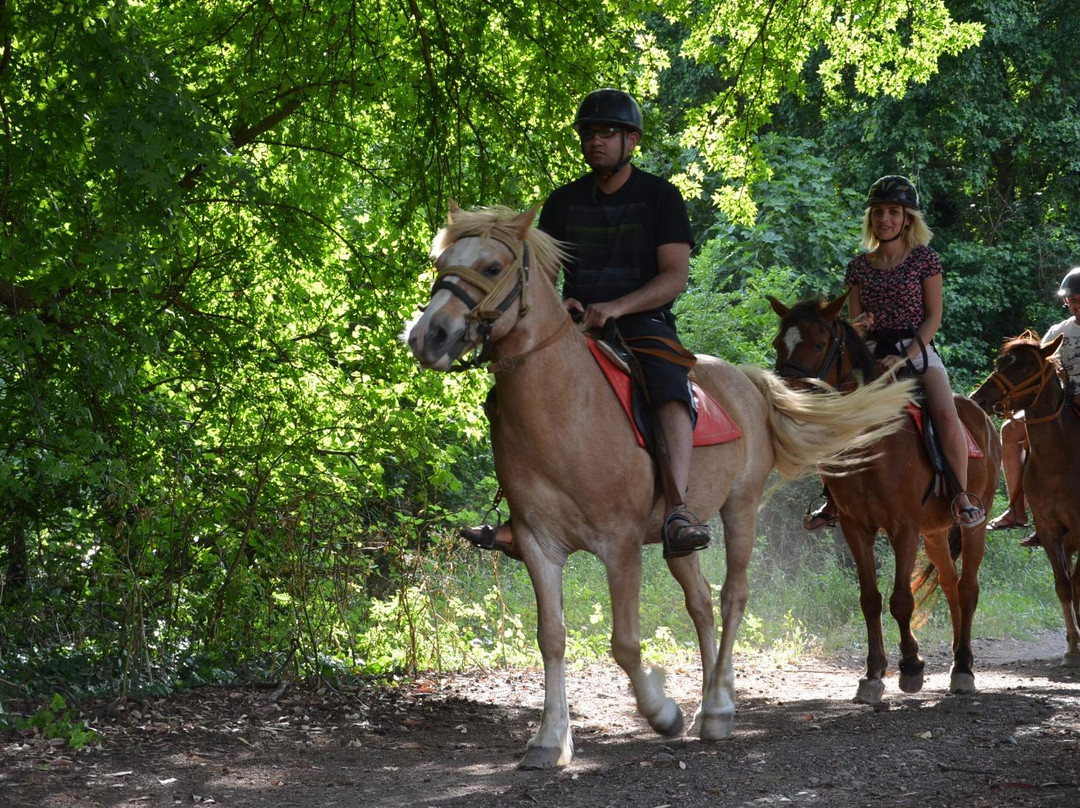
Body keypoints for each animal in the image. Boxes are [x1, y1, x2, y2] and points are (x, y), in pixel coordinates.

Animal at [406, 205, 911, 769]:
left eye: (492, 267)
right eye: (441, 262)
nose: (429, 336)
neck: (563, 408)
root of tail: (750, 382)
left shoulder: (620, 544)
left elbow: (625, 643)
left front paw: (662, 713)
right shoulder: (539, 545)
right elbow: (551, 637)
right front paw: (549, 739)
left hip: (740, 509)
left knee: (733, 596)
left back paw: (716, 709)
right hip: (680, 536)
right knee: (702, 604)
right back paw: (713, 702)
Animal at [768, 293, 1002, 704]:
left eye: (819, 343)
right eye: (779, 343)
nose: (786, 394)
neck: (873, 440)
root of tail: (982, 418)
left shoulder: (902, 528)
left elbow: (901, 600)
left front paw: (910, 667)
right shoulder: (855, 527)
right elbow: (870, 599)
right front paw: (873, 674)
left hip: (974, 522)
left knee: (968, 588)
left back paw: (963, 668)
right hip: (935, 532)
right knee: (950, 586)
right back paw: (958, 660)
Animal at [972, 330, 1080, 665]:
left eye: (1024, 368)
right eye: (1000, 362)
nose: (980, 398)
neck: (1060, 460)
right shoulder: (1049, 530)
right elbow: (1064, 587)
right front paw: (1073, 647)